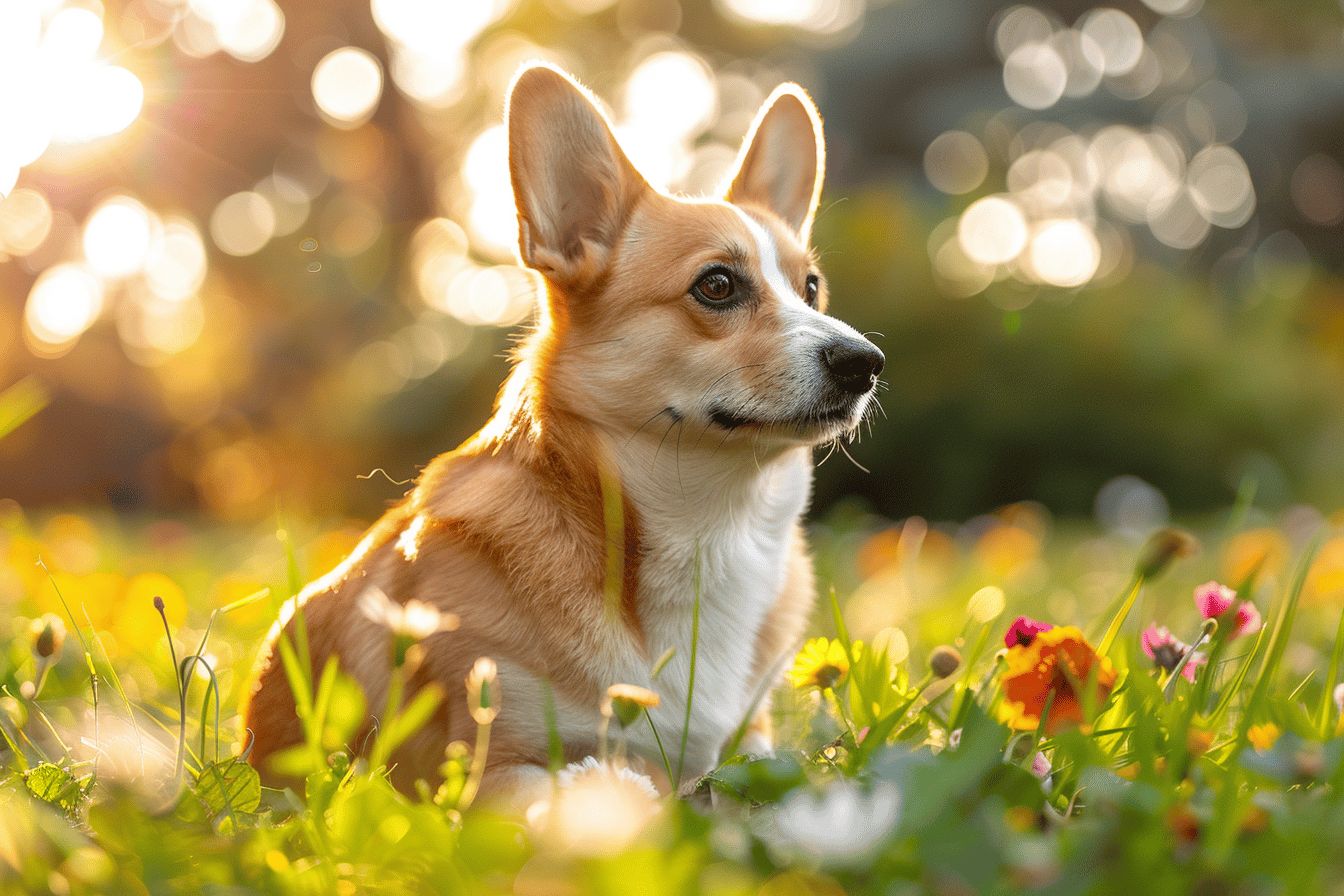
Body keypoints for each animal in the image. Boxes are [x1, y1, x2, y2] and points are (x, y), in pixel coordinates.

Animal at [244, 64, 881, 805]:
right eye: (717, 285)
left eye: (811, 289)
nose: (867, 363)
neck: (708, 524)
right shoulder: (495, 771)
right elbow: (611, 795)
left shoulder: (751, 748)